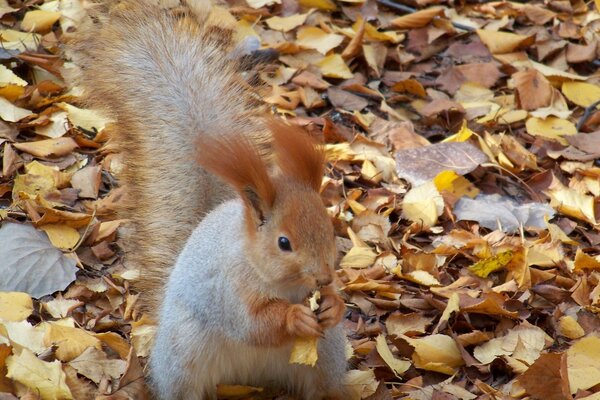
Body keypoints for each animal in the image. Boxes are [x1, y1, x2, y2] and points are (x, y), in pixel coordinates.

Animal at [67, 0, 346, 400]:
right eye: (283, 243)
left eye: (330, 228)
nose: (323, 278)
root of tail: (252, 378)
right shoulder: (229, 290)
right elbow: (254, 324)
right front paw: (295, 317)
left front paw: (334, 304)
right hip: (185, 353)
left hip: (327, 357)